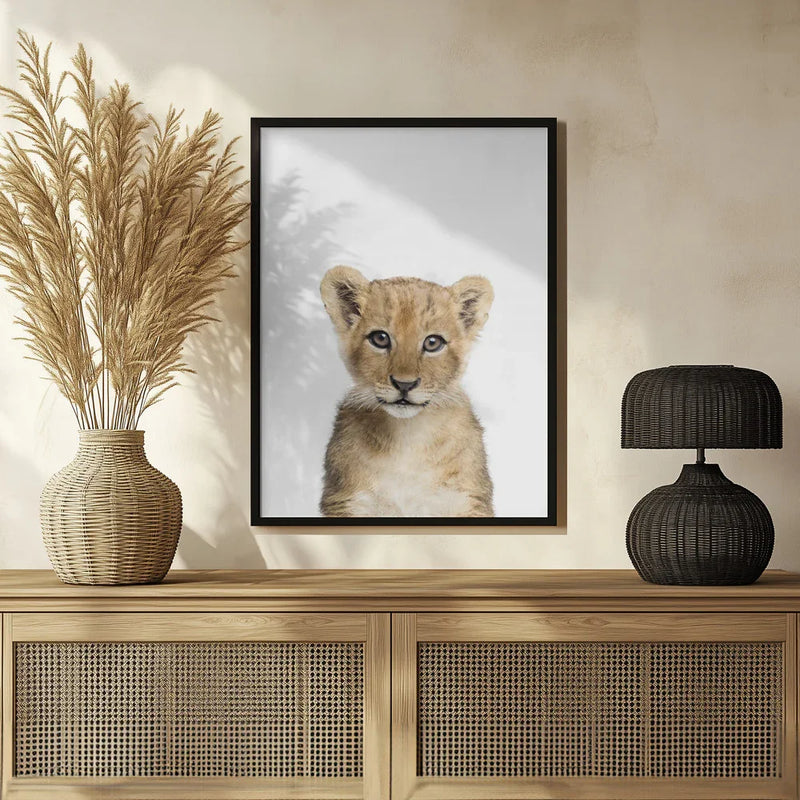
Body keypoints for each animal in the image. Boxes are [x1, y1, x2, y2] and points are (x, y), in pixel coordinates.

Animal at [319, 266, 494, 518]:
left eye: (433, 342)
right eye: (380, 338)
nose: (404, 384)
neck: (407, 435)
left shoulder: (467, 500)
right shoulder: (347, 501)